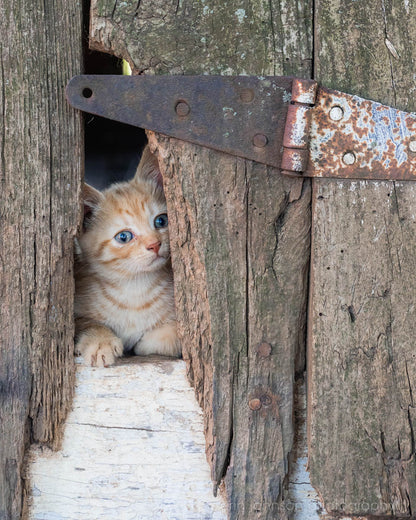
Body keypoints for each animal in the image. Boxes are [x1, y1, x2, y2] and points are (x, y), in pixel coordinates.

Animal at [75, 144, 179, 368]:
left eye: (161, 221)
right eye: (124, 237)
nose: (154, 244)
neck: (134, 287)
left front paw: (147, 343)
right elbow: (88, 323)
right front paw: (100, 341)